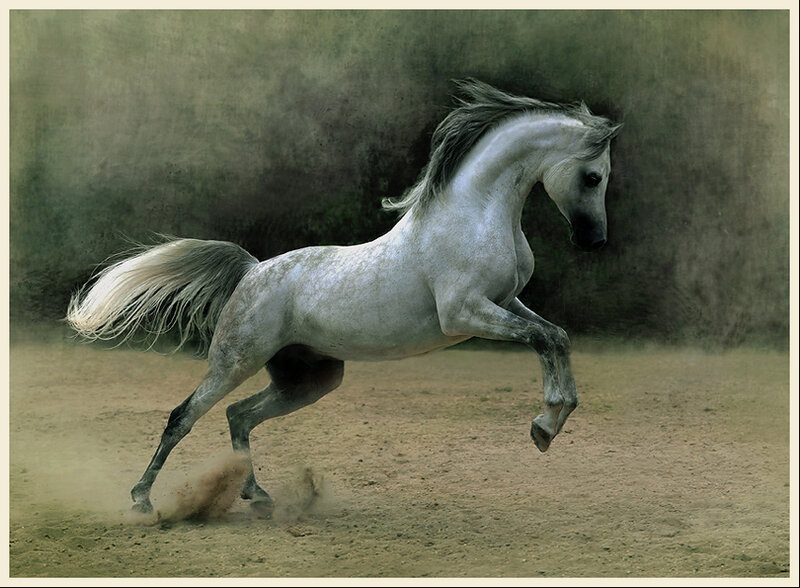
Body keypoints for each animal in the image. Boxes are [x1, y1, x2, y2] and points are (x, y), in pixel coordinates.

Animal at [66, 79, 623, 514]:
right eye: (593, 175)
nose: (593, 241)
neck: (475, 213)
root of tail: (252, 271)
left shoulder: (505, 303)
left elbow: (555, 336)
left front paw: (549, 425)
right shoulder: (465, 313)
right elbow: (542, 339)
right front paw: (545, 424)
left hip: (310, 378)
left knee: (238, 415)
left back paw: (258, 496)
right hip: (235, 360)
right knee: (184, 416)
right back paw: (142, 500)